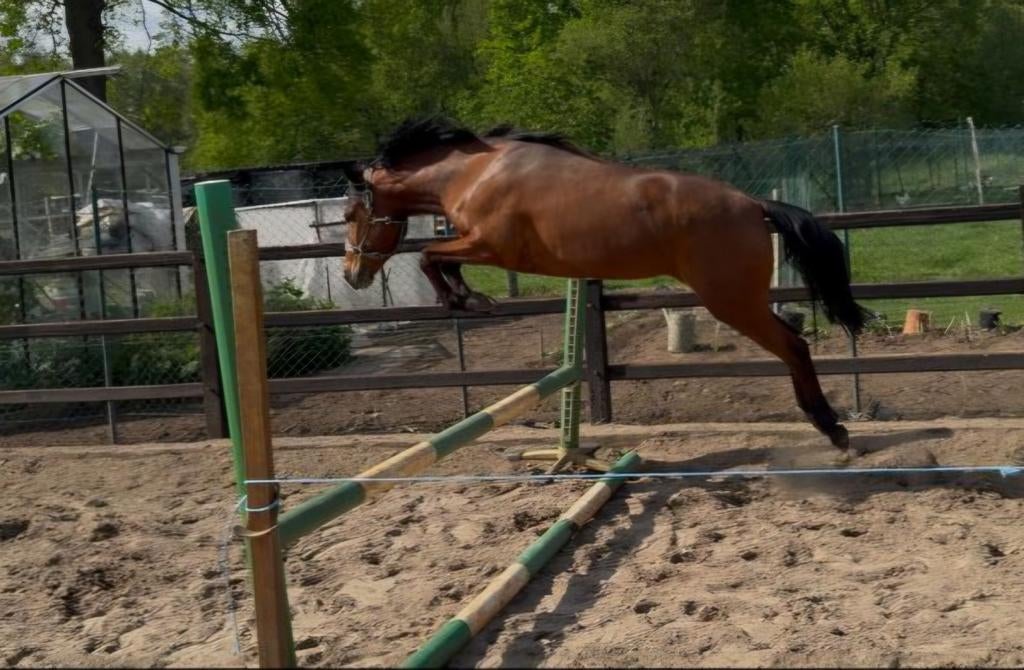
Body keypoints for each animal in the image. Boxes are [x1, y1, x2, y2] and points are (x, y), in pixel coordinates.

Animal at [340, 117, 870, 452]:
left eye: (348, 214)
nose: (352, 275)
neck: (476, 173)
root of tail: (754, 205)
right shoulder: (480, 246)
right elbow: (437, 259)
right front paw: (469, 298)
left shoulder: (491, 246)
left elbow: (430, 257)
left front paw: (468, 300)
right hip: (739, 301)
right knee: (793, 344)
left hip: (732, 302)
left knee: (794, 346)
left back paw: (833, 430)